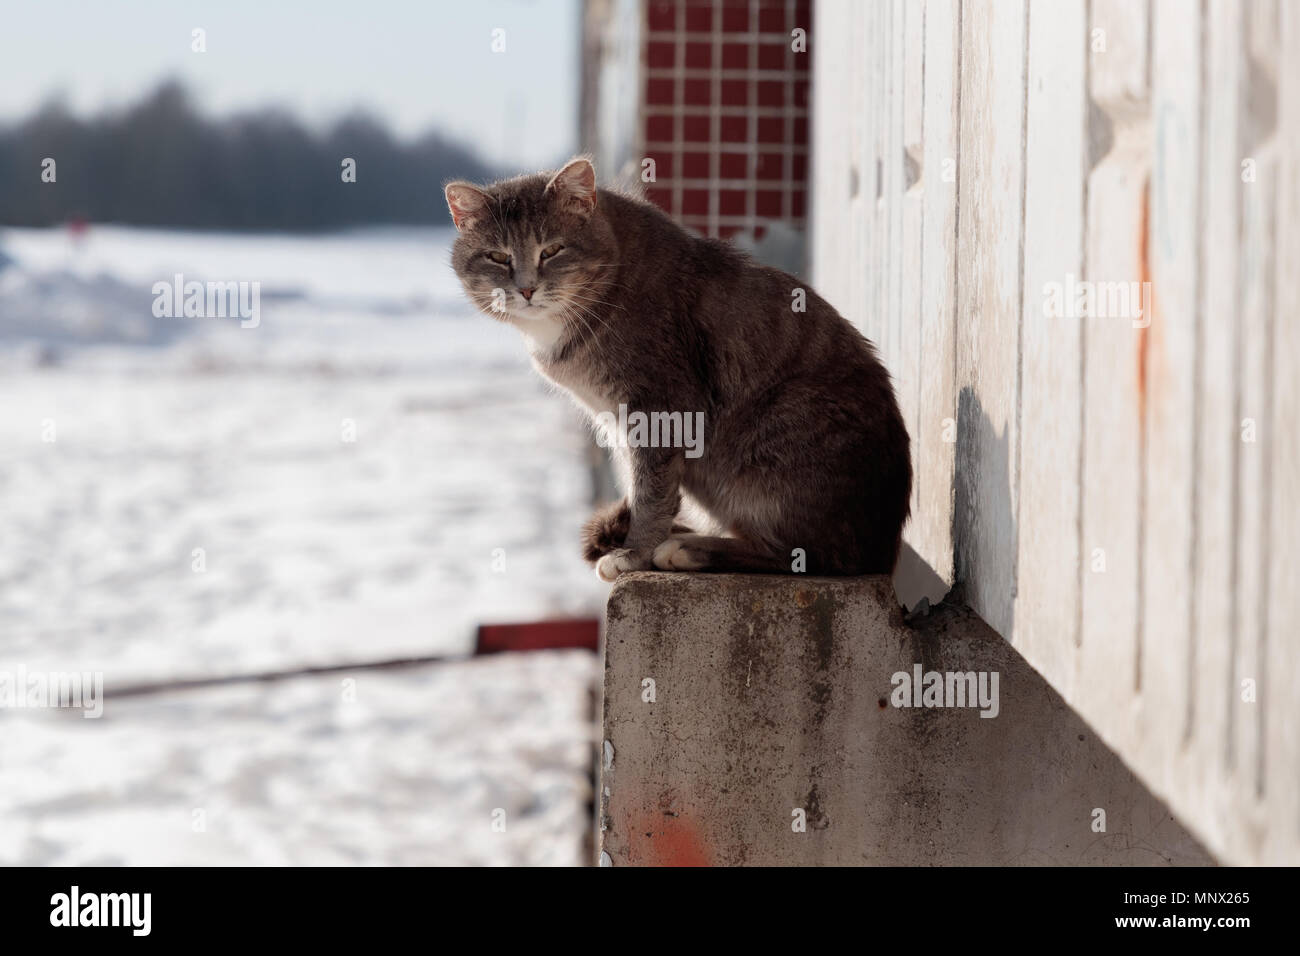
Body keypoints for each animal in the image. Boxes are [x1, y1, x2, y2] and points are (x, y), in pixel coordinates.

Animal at [447, 158, 915, 580]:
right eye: (496, 256)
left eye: (552, 250)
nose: (526, 289)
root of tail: (885, 546)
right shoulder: (616, 420)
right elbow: (636, 483)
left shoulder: (661, 406)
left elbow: (651, 491)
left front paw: (634, 552)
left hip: (783, 425)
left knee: (807, 554)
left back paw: (691, 549)